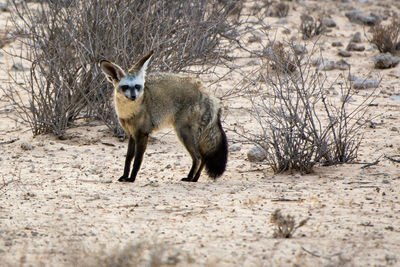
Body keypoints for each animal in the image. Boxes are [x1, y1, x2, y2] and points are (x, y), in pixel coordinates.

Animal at [99, 51, 228, 183]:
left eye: (137, 86)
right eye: (125, 87)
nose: (134, 96)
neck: (129, 113)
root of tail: (205, 90)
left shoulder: (142, 134)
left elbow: (137, 160)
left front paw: (132, 178)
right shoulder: (132, 134)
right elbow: (128, 159)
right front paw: (125, 176)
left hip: (183, 132)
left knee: (198, 157)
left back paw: (191, 177)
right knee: (202, 157)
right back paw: (194, 178)